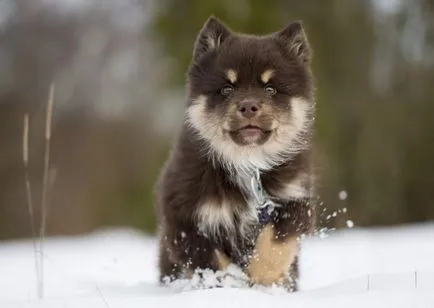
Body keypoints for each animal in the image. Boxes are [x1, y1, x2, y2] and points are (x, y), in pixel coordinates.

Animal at [154, 16, 318, 292]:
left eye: (271, 89)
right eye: (227, 89)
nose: (249, 106)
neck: (248, 164)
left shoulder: (294, 201)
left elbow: (274, 246)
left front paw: (262, 280)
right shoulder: (184, 215)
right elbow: (209, 261)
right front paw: (229, 284)